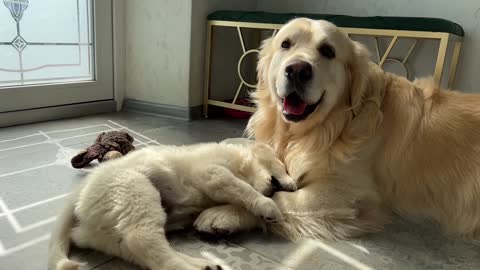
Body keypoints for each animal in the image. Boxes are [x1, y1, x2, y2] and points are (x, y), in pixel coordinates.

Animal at [49, 139, 296, 270]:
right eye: (281, 167)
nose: (282, 187)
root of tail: (78, 195)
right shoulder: (214, 174)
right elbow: (243, 189)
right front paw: (268, 206)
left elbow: (237, 200)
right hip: (135, 193)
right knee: (144, 242)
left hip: (111, 236)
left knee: (142, 252)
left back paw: (202, 265)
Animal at [195, 17, 480, 240]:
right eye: (286, 44)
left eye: (328, 51)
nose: (297, 70)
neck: (328, 126)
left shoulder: (343, 194)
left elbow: (278, 200)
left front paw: (223, 212)